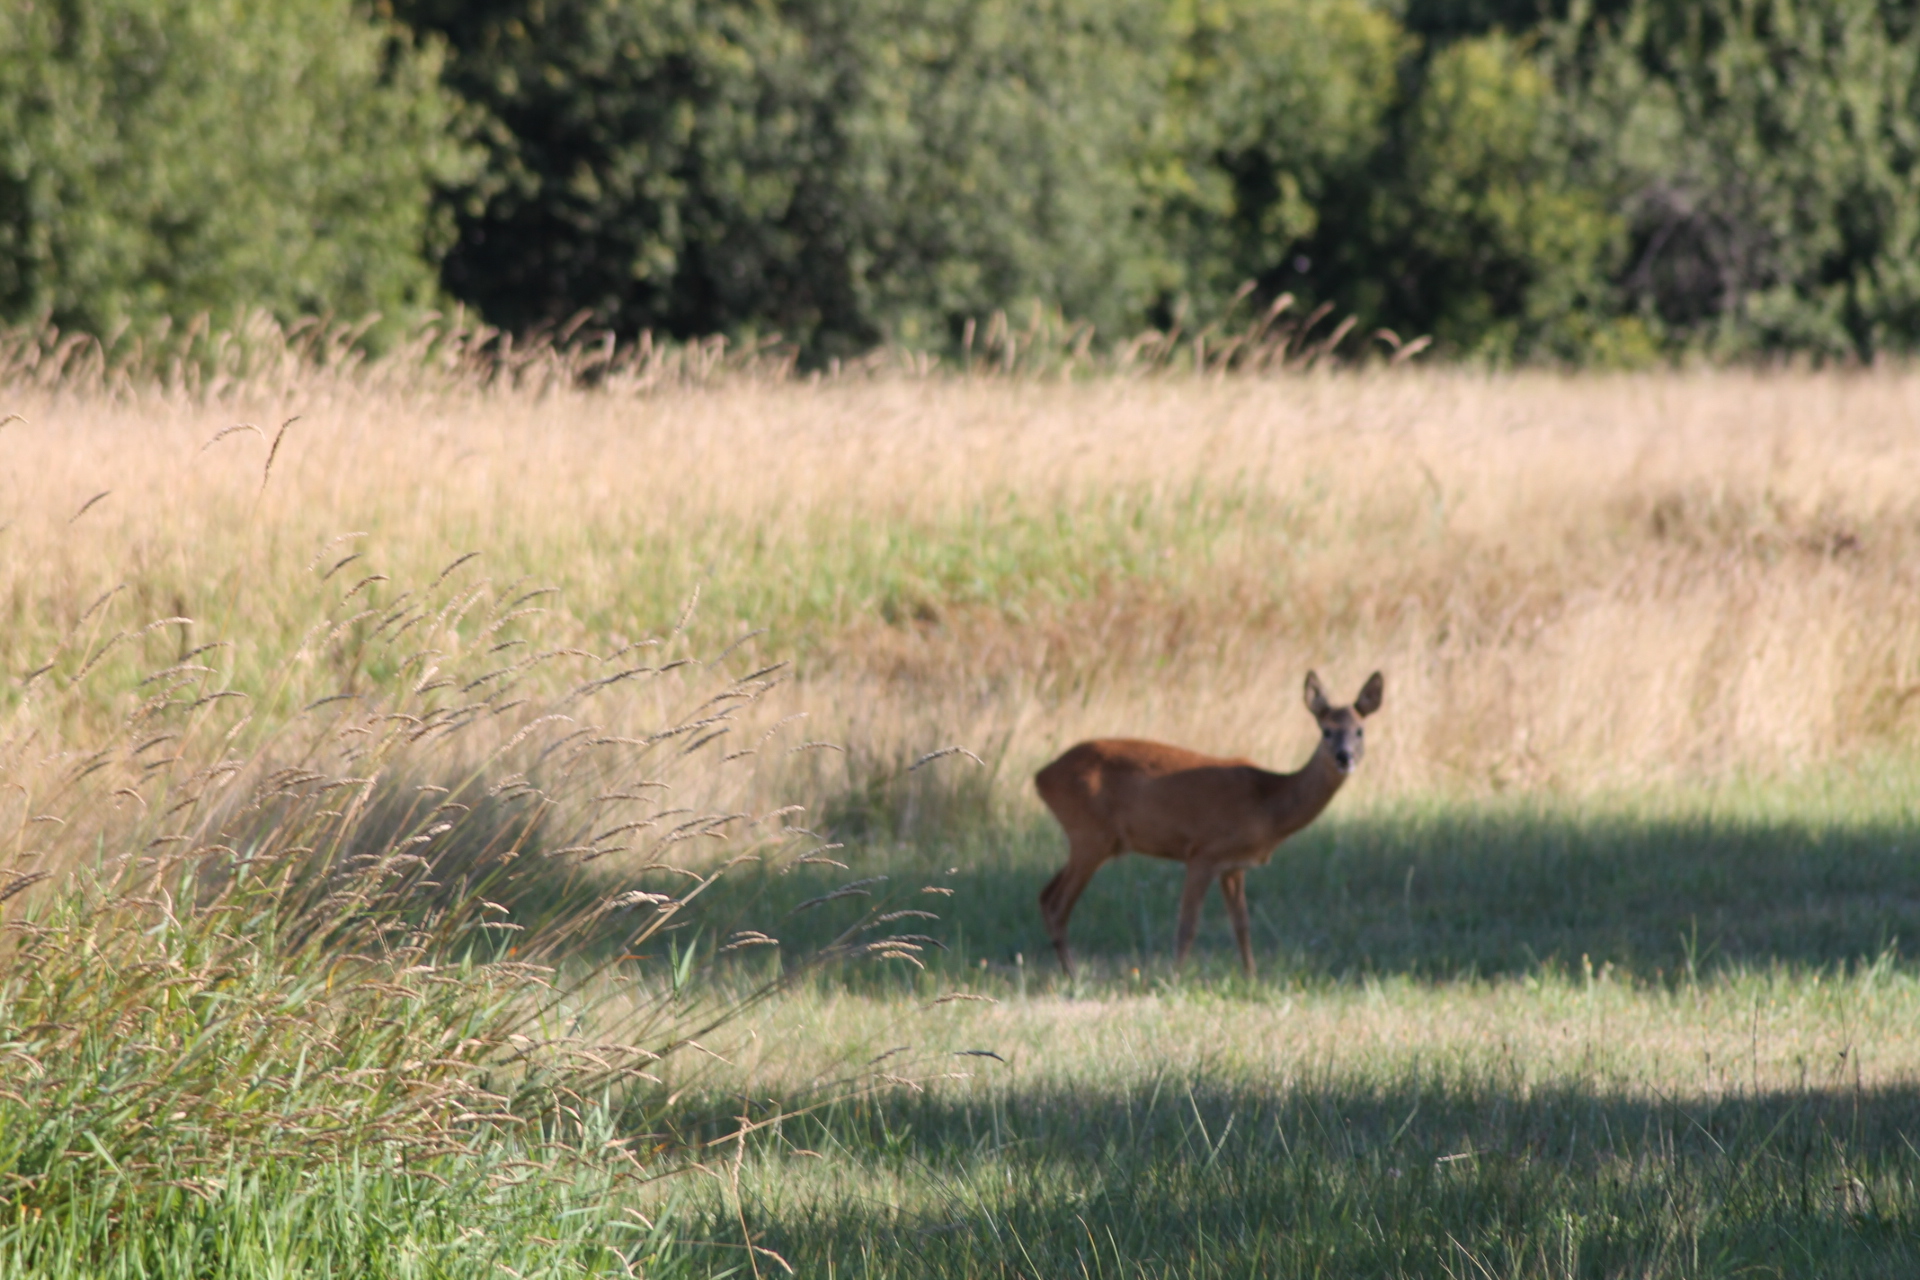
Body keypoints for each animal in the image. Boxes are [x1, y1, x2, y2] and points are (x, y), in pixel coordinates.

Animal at [1036, 671, 1382, 982]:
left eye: (1360, 731)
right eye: (1326, 731)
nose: (1344, 757)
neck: (1269, 804)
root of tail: (1041, 776)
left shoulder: (1233, 866)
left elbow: (1242, 924)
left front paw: (1252, 977)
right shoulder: (1203, 852)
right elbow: (1188, 924)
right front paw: (1174, 978)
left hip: (1091, 839)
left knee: (1045, 894)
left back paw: (1069, 972)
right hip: (1090, 834)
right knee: (1057, 903)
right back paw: (1073, 975)